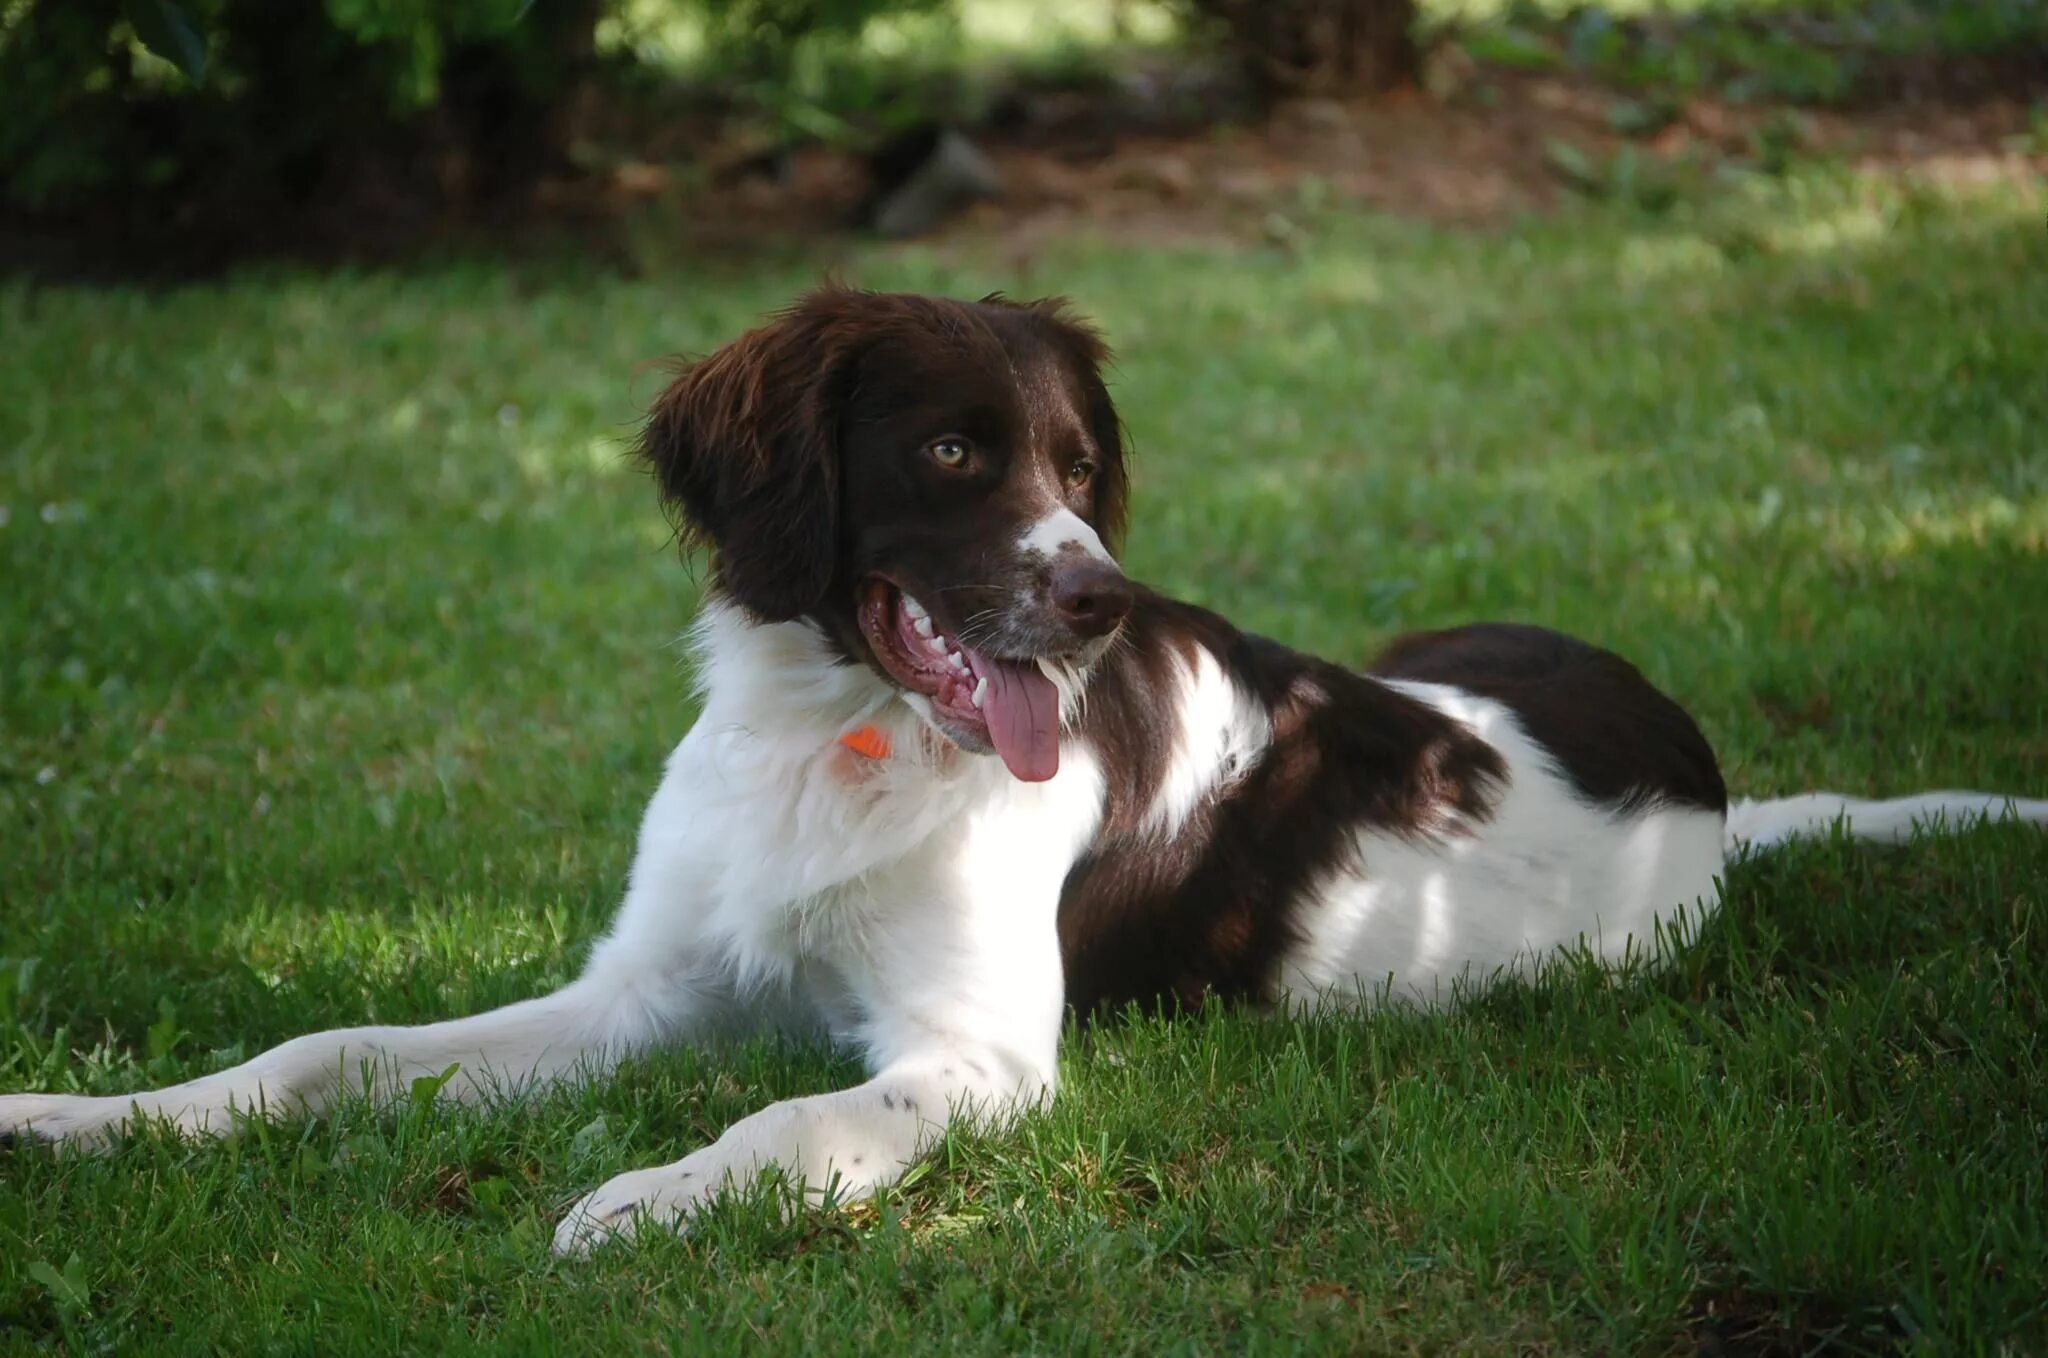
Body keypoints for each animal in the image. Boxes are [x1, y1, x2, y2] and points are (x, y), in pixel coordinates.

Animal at [4, 288, 2048, 1253]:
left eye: (1078, 461)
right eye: (948, 450)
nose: (1093, 596)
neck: (832, 732)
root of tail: (1710, 789)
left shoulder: (979, 1053)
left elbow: (801, 1119)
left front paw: (645, 1200)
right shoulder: (645, 985)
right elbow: (328, 1049)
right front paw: (89, 1119)